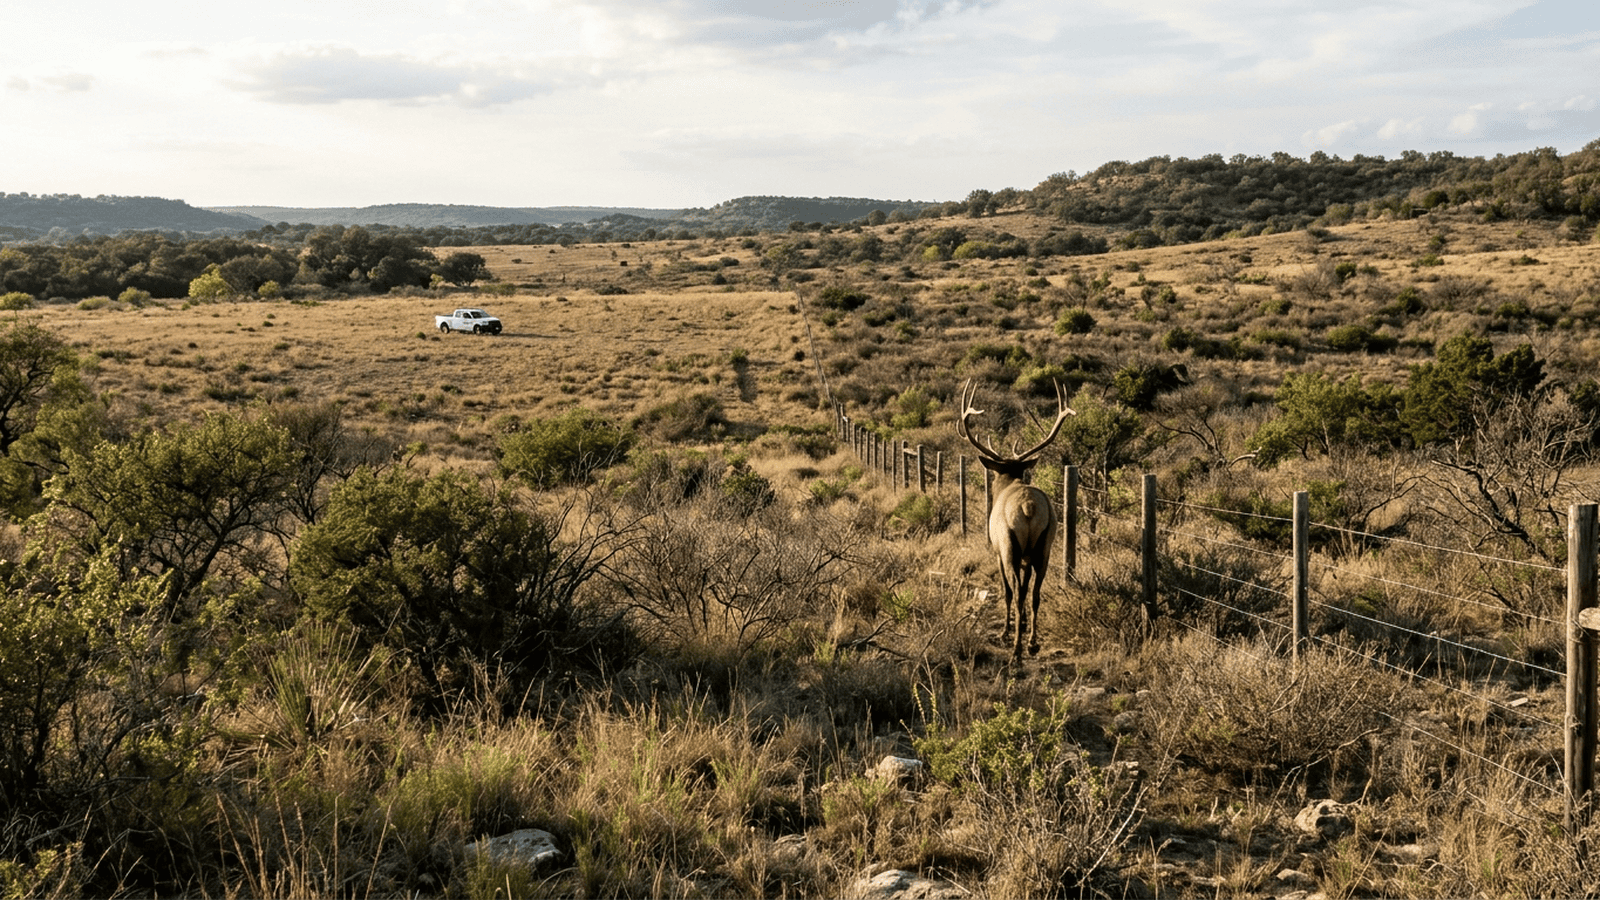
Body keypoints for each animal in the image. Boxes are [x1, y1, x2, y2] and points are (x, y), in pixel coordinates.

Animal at [957, 378, 1075, 663]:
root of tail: (1028, 507)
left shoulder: (998, 551)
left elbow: (1008, 592)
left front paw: (1006, 631)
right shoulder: (1027, 557)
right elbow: (1026, 591)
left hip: (1010, 545)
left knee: (1018, 592)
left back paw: (1016, 650)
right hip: (1044, 546)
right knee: (1034, 594)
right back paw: (1031, 643)